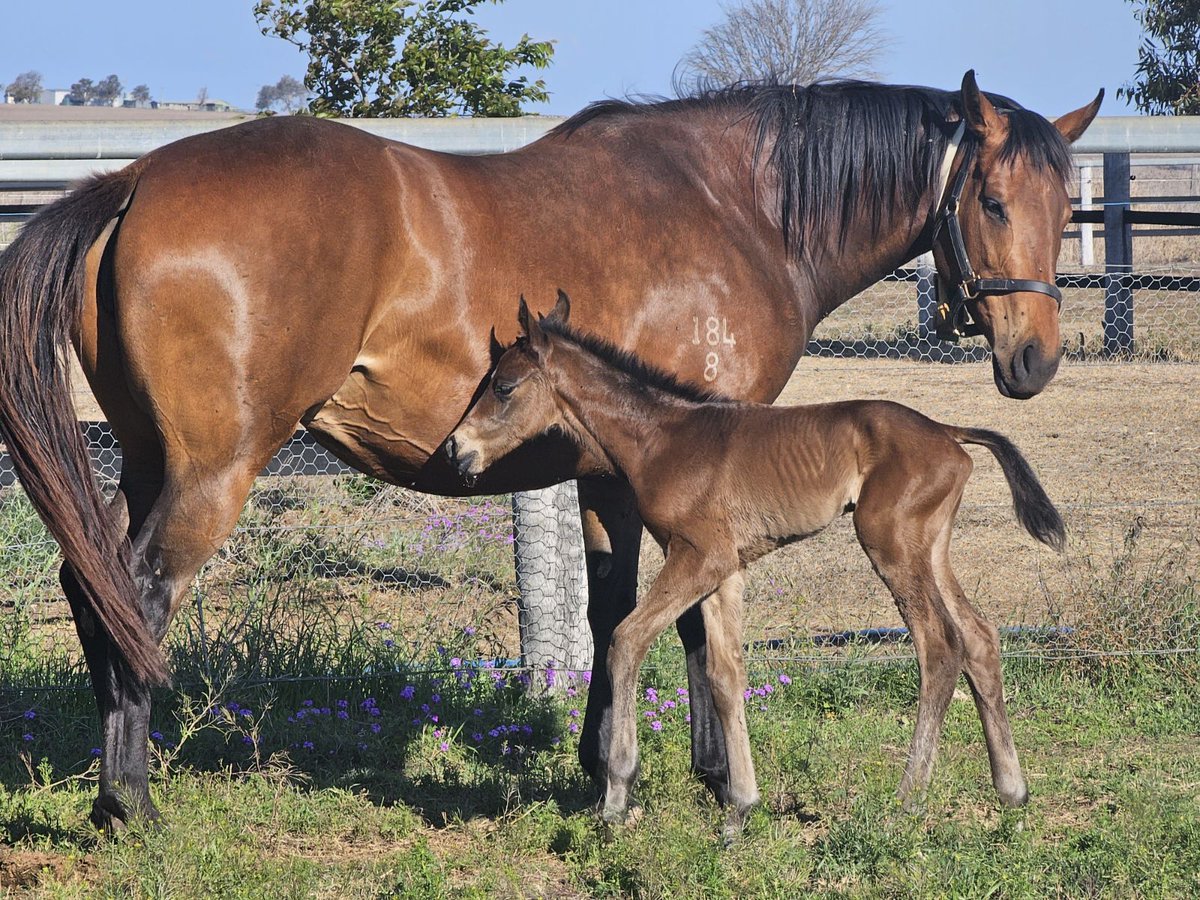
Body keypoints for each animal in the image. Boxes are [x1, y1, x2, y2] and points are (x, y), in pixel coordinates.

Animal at [447, 292, 1066, 831]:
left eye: (503, 387)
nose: (457, 449)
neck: (660, 440)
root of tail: (948, 432)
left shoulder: (697, 555)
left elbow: (626, 640)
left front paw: (617, 795)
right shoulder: (726, 569)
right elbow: (726, 673)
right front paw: (740, 808)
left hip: (888, 542)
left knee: (940, 644)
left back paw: (908, 796)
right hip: (929, 546)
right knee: (980, 636)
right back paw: (1012, 790)